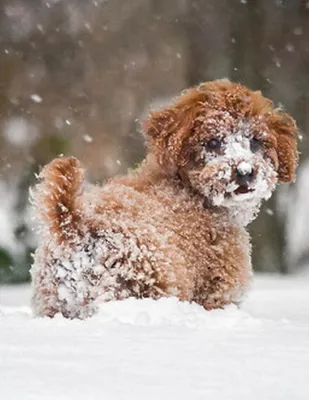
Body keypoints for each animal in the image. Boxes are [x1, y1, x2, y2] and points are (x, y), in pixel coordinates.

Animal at [30, 80, 298, 318]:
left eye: (255, 141)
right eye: (213, 142)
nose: (244, 171)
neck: (190, 190)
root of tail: (75, 225)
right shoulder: (216, 290)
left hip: (55, 301)